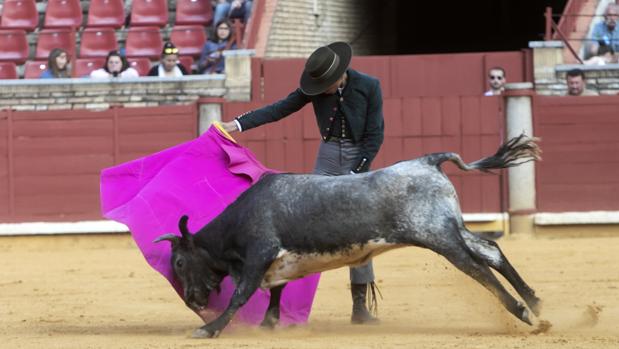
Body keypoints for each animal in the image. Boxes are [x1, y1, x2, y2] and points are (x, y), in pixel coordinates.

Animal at [156, 133, 544, 338]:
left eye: (179, 262)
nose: (192, 300)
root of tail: (427, 160)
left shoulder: (259, 254)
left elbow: (241, 295)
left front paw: (209, 329)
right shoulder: (277, 263)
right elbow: (276, 293)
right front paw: (268, 325)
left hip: (438, 235)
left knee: (477, 267)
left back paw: (524, 313)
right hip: (452, 227)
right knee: (491, 250)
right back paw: (536, 302)